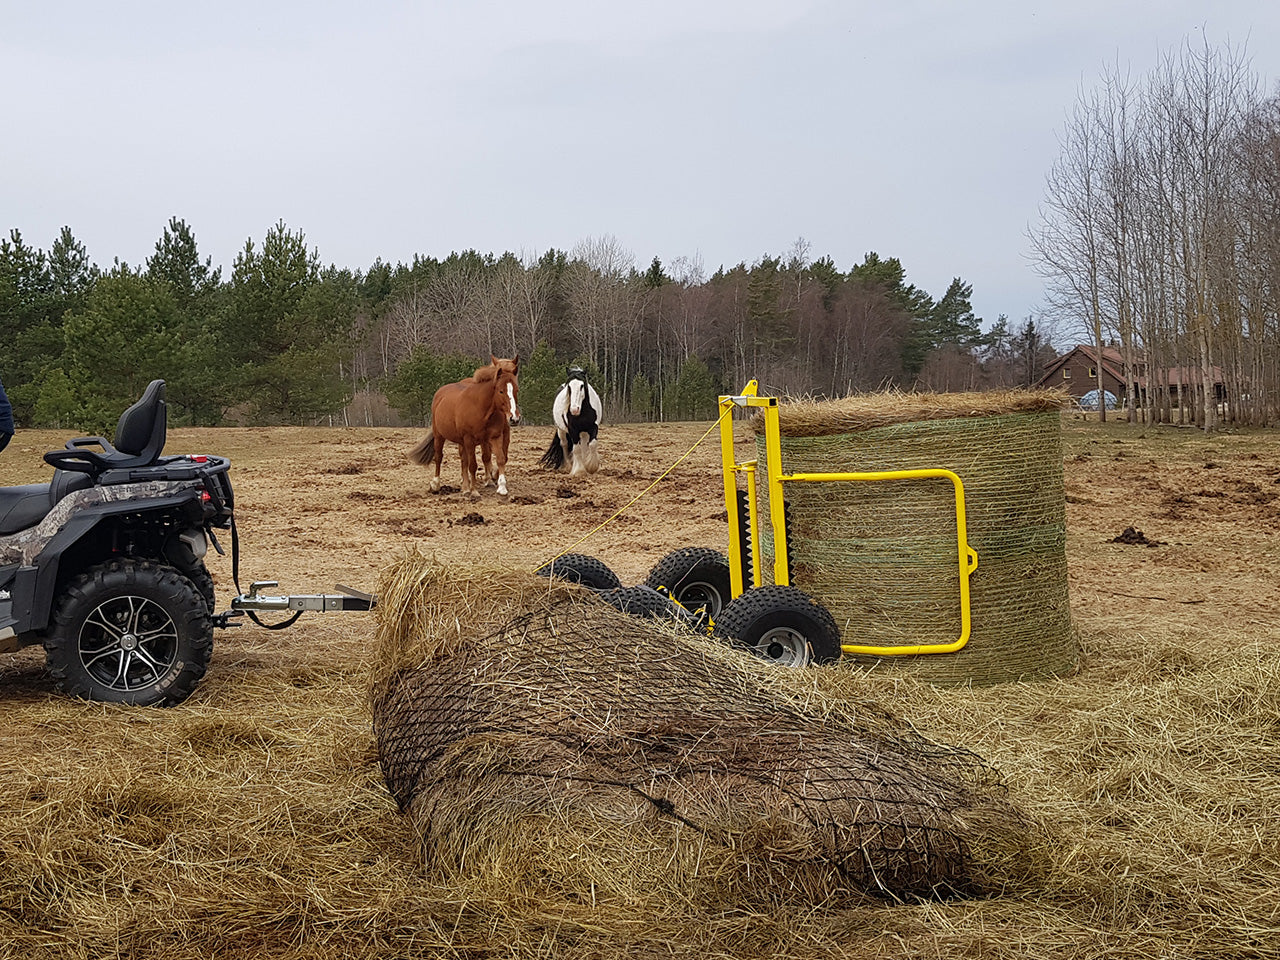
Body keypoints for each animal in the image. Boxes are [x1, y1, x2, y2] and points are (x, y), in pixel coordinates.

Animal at [409, 360, 519, 496]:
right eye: (501, 391)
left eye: (516, 390)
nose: (514, 418)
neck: (481, 408)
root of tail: (440, 393)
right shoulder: (469, 439)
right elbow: (473, 465)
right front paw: (474, 491)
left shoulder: (495, 437)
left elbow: (500, 459)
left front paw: (502, 487)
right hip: (439, 436)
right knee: (439, 457)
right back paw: (436, 484)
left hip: (462, 441)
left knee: (463, 460)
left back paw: (465, 487)